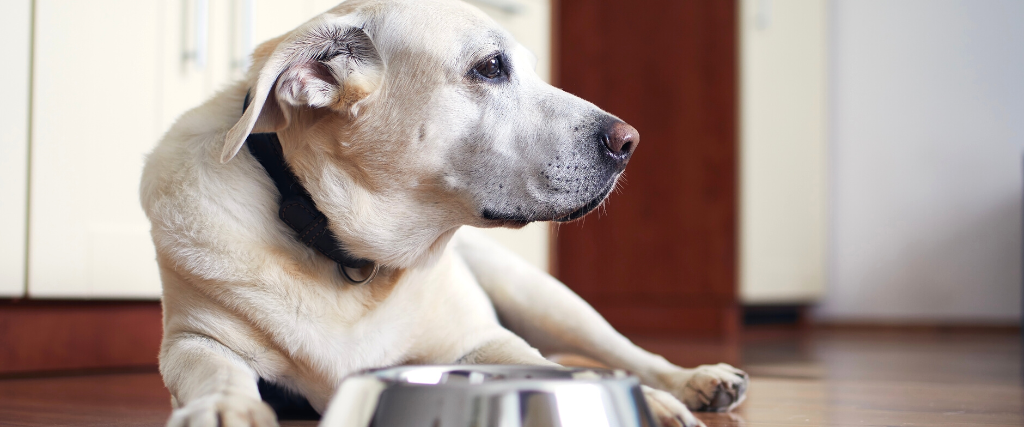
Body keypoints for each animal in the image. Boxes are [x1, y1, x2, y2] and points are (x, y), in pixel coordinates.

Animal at [140, 0, 749, 425]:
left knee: (623, 349)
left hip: (543, 296)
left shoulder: (483, 341)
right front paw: (225, 409)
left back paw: (692, 379)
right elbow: (218, 375)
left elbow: (549, 367)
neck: (348, 253)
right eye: (491, 67)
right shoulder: (194, 342)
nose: (630, 142)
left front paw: (646, 400)